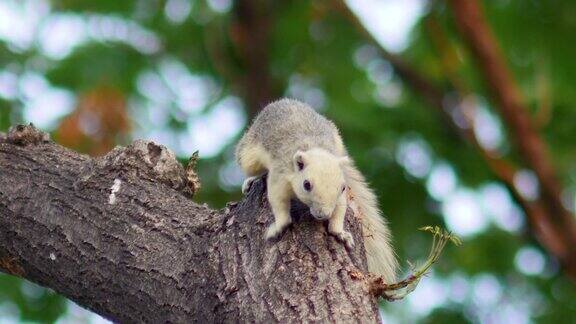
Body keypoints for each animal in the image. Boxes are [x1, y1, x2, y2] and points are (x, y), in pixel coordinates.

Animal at [236, 97, 398, 282]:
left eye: (342, 187)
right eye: (306, 185)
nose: (323, 214)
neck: (316, 150)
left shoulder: (340, 198)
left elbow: (340, 210)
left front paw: (340, 233)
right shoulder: (280, 175)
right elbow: (278, 200)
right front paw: (279, 226)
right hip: (248, 153)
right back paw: (251, 180)